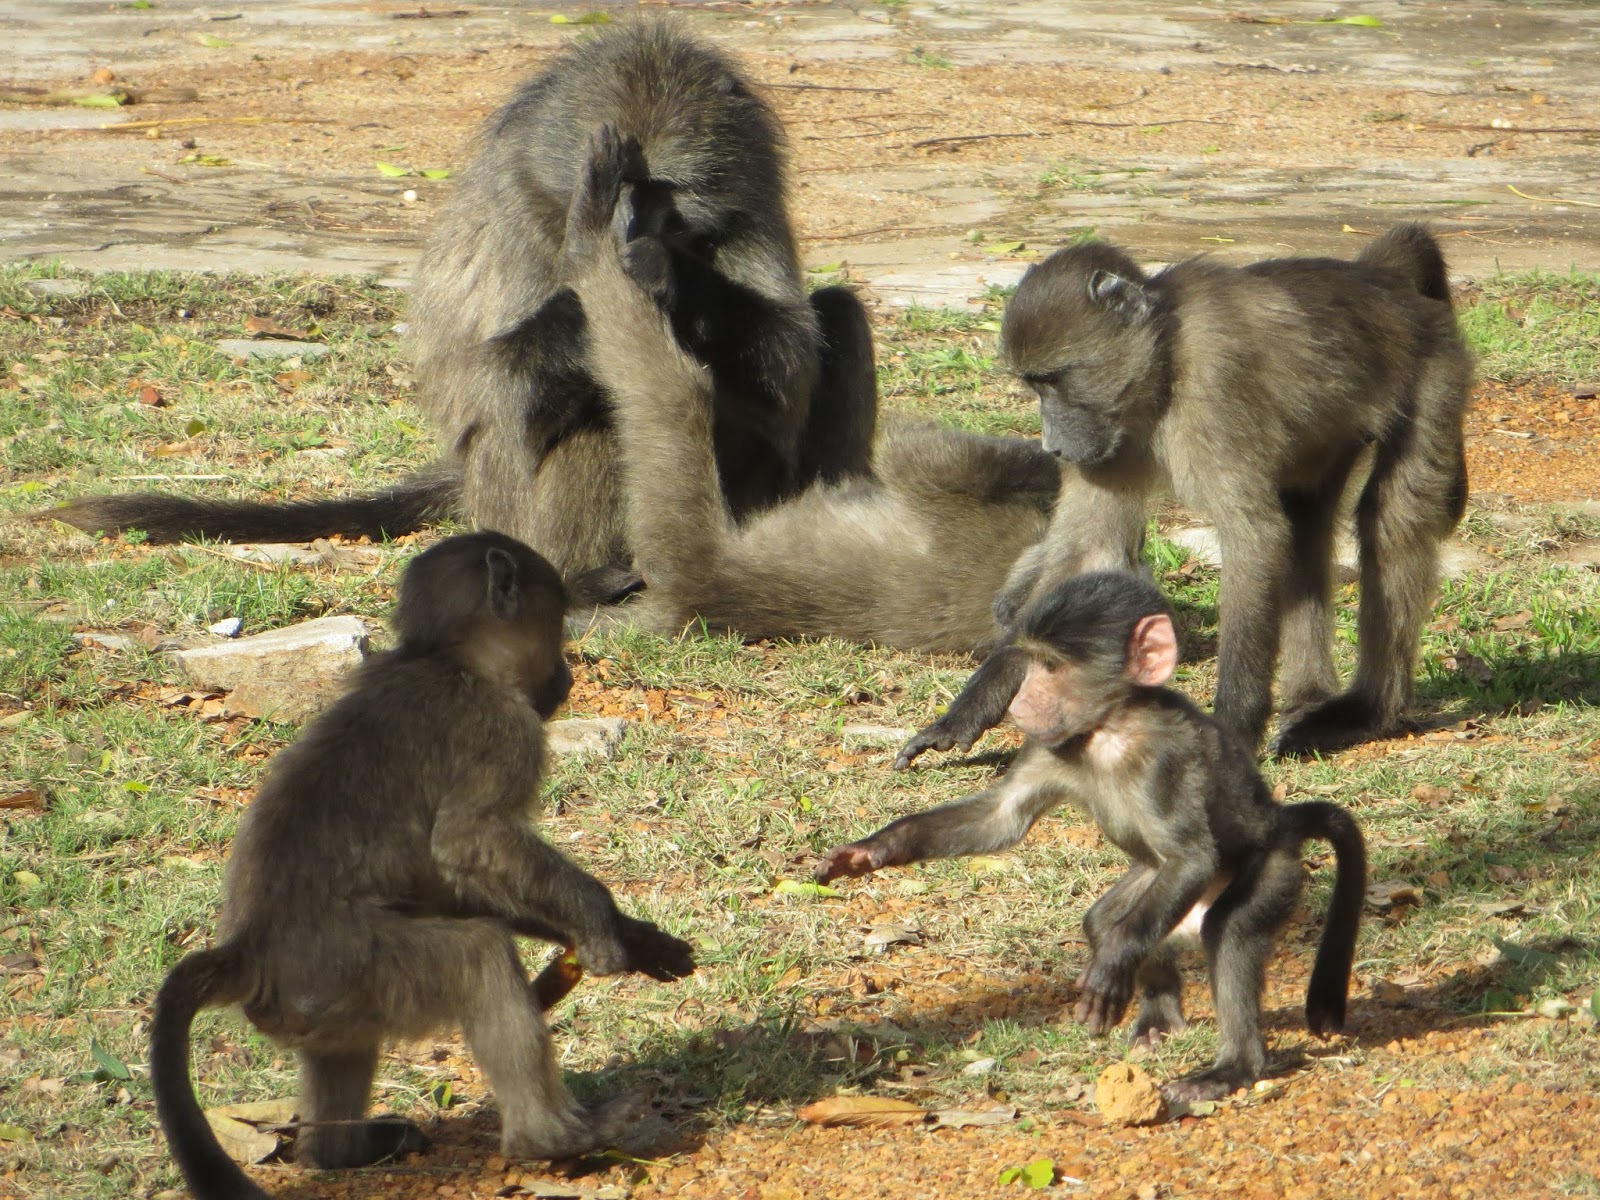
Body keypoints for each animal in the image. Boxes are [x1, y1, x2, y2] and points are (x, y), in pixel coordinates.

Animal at [52, 21, 877, 607]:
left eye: (659, 189)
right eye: (610, 186)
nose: (621, 238)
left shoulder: (749, 207)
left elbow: (789, 369)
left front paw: (666, 275)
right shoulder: (518, 216)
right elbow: (482, 390)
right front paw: (592, 282)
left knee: (840, 314)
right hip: (509, 515)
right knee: (579, 406)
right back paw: (586, 579)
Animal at [149, 532, 696, 1200]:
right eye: (556, 623)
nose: (566, 675)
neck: (445, 661)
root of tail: (249, 950)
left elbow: (447, 884)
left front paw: (637, 938)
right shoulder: (504, 726)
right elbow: (468, 844)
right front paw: (597, 922)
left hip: (326, 1007)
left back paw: (342, 1152)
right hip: (352, 970)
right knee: (478, 957)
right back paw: (554, 1137)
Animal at [819, 571, 1367, 1102]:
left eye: (1051, 666)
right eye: (1033, 661)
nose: (1023, 697)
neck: (1109, 729)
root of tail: (1280, 820)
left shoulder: (1163, 757)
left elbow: (1191, 856)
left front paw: (1110, 970)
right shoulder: (1050, 746)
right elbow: (1001, 819)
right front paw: (872, 850)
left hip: (1271, 866)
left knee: (1227, 925)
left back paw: (1232, 1068)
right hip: (1153, 881)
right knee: (1106, 919)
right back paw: (1158, 1017)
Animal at [895, 224, 1471, 766]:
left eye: (1053, 380)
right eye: (1034, 385)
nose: (1053, 446)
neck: (1163, 359)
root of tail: (1381, 282)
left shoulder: (1216, 384)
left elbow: (1254, 538)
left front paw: (1233, 727)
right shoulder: (1112, 441)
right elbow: (1084, 553)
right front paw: (971, 708)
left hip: (1434, 368)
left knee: (1389, 516)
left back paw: (1369, 711)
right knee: (1308, 519)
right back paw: (1309, 700)